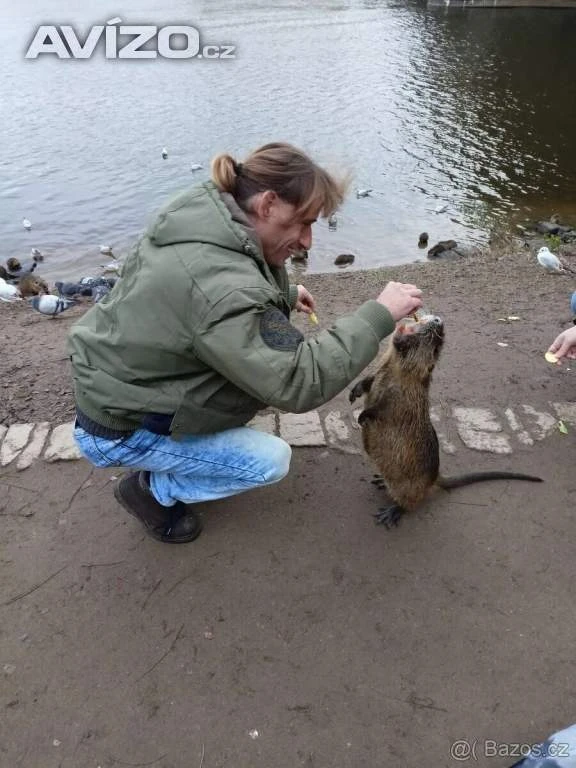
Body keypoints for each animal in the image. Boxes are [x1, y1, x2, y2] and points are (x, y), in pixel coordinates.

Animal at [349, 315, 542, 529]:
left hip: (408, 486)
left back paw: (390, 512)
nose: (438, 321)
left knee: (410, 502)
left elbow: (385, 410)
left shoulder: (404, 399)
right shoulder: (381, 371)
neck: (395, 373)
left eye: (437, 344)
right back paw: (381, 481)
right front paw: (355, 391)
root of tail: (435, 479)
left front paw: (363, 416)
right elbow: (369, 381)